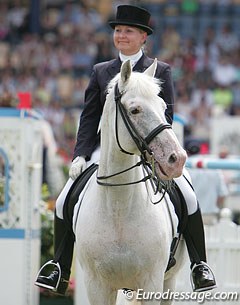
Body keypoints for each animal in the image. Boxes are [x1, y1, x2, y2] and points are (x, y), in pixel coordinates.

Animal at [75, 60, 188, 304]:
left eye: (164, 107)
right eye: (135, 110)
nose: (177, 159)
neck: (119, 207)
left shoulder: (152, 283)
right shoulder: (97, 286)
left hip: (170, 281)